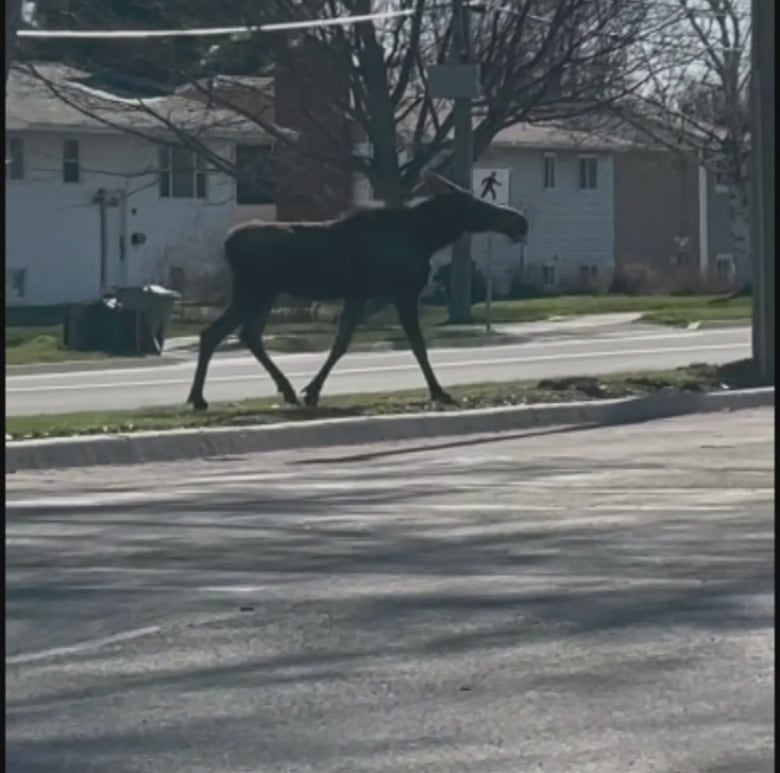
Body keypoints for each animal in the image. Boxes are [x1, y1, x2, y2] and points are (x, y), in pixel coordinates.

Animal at [187, 170, 532, 410]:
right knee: (213, 333)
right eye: (472, 202)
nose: (519, 220)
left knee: (248, 335)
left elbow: (342, 342)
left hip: (265, 295)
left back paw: (285, 390)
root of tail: (228, 242)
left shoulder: (361, 294)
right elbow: (418, 344)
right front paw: (439, 391)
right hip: (252, 292)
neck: (427, 237)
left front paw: (312, 390)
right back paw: (198, 398)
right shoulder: (403, 292)